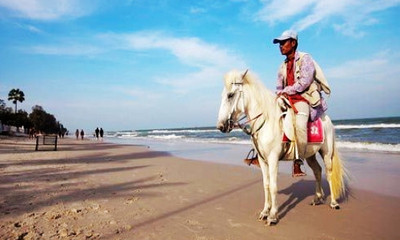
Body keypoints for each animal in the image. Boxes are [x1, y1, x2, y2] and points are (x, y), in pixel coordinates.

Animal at [217, 69, 346, 225]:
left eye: (230, 95)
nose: (220, 126)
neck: (266, 121)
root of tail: (327, 119)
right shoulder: (262, 160)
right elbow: (266, 185)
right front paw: (264, 212)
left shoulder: (273, 159)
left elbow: (273, 186)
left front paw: (273, 215)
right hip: (310, 155)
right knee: (317, 171)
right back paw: (317, 198)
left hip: (326, 152)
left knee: (328, 173)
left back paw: (333, 202)